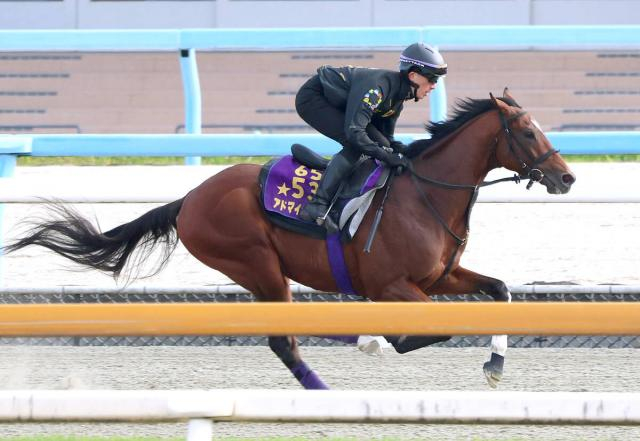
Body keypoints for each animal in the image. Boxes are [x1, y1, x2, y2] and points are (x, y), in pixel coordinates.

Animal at [4, 89, 576, 390]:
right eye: (527, 132)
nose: (566, 177)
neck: (427, 194)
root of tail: (189, 198)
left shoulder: (441, 276)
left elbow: (499, 290)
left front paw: (496, 364)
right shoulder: (393, 286)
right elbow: (429, 329)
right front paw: (386, 339)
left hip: (263, 272)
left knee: (287, 328)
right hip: (255, 261)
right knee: (282, 336)